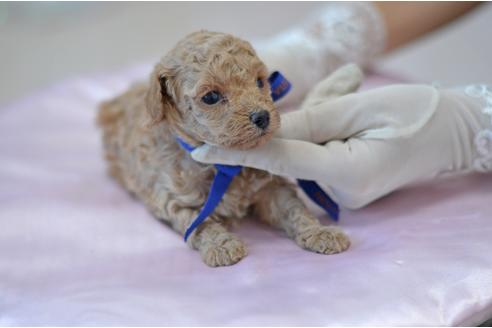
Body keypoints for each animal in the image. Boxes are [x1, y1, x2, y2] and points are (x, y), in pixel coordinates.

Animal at [97, 30, 350, 266]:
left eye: (260, 81)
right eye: (211, 97)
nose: (263, 117)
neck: (225, 165)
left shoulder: (271, 187)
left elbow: (294, 209)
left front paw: (320, 232)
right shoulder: (176, 201)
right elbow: (201, 225)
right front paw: (221, 245)